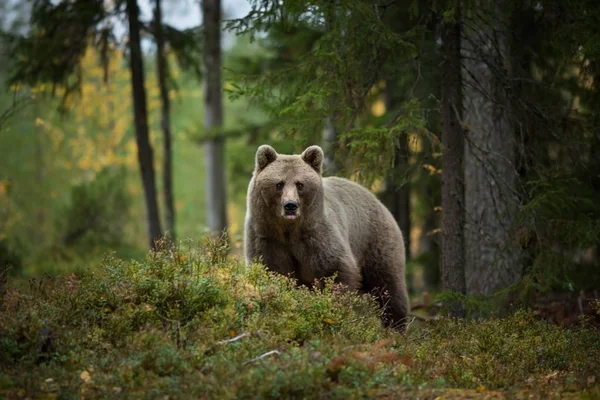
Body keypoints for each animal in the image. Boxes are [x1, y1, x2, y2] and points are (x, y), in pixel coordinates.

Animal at [243, 145, 408, 330]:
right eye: (279, 184)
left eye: (300, 184)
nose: (290, 206)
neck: (289, 231)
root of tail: (379, 202)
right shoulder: (267, 238)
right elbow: (273, 271)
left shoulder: (316, 236)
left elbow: (335, 270)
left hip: (375, 241)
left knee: (388, 286)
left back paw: (396, 326)